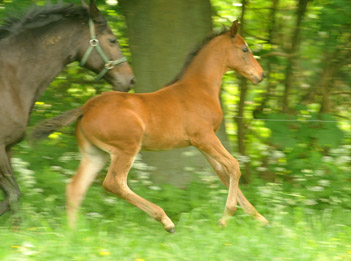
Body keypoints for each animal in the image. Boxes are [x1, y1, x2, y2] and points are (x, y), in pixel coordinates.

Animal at [0, 0, 135, 215]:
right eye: (112, 40)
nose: (130, 79)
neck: (10, 81)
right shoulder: (0, 149)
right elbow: (13, 195)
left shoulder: (8, 148)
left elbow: (11, 198)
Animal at [33, 20, 270, 232]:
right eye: (245, 49)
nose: (261, 75)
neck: (199, 89)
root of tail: (86, 107)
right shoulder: (204, 137)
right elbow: (234, 166)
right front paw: (226, 217)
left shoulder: (202, 144)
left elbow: (224, 173)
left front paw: (261, 219)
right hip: (127, 147)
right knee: (113, 183)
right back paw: (166, 221)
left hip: (94, 154)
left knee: (75, 187)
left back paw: (72, 234)